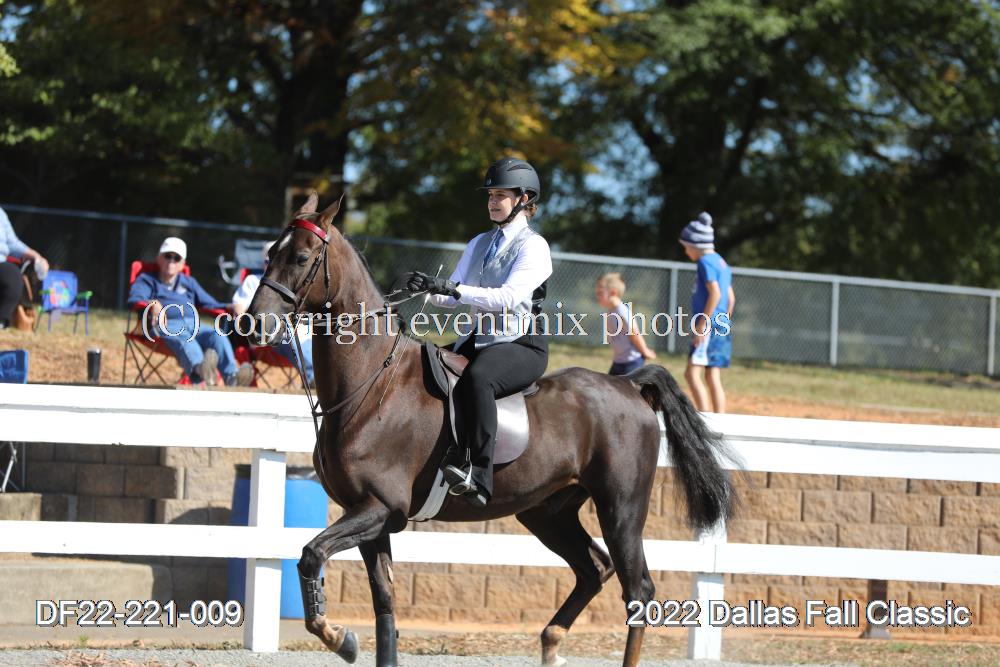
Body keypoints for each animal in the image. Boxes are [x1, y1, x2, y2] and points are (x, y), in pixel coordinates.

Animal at [246, 193, 736, 667]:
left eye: (302, 257)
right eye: (270, 253)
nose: (252, 325)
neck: (373, 388)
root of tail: (628, 385)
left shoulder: (380, 508)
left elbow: (311, 555)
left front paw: (339, 637)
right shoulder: (371, 515)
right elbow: (384, 605)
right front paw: (348, 638)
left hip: (621, 509)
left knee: (638, 591)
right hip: (547, 513)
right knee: (593, 568)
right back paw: (551, 643)